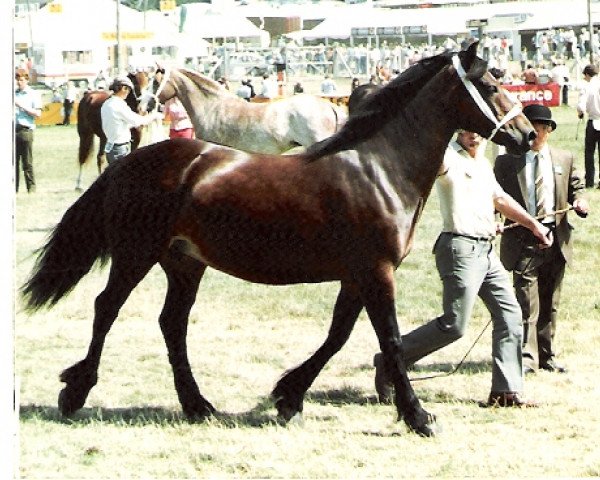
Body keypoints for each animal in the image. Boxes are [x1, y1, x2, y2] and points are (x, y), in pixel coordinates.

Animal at [22, 43, 536, 436]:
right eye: (491, 85)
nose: (527, 134)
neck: (377, 168)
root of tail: (131, 162)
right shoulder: (376, 273)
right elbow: (388, 339)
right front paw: (418, 417)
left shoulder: (357, 276)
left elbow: (336, 336)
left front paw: (289, 396)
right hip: (136, 255)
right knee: (106, 309)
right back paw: (75, 392)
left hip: (185, 264)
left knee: (172, 324)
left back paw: (197, 405)